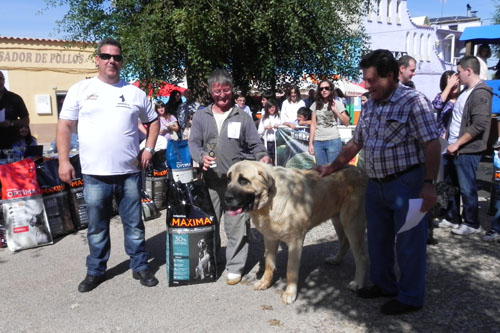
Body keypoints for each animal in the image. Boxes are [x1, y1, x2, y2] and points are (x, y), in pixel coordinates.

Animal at [226, 160, 368, 304]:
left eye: (243, 180)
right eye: (229, 179)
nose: (226, 197)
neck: (272, 199)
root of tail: (359, 170)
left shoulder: (295, 241)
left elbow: (291, 270)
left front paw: (290, 293)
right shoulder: (270, 238)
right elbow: (269, 264)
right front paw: (264, 282)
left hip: (352, 223)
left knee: (361, 256)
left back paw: (357, 283)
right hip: (337, 220)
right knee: (344, 242)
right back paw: (336, 259)